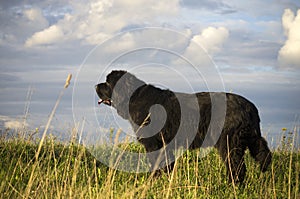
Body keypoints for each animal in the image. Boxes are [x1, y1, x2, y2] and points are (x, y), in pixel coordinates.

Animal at [96, 70, 272, 183]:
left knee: (237, 167)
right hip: (249, 138)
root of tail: (250, 106)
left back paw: (231, 186)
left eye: (107, 82)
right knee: (262, 154)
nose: (96, 86)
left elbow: (155, 165)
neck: (133, 97)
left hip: (229, 142)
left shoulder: (154, 144)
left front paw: (153, 182)